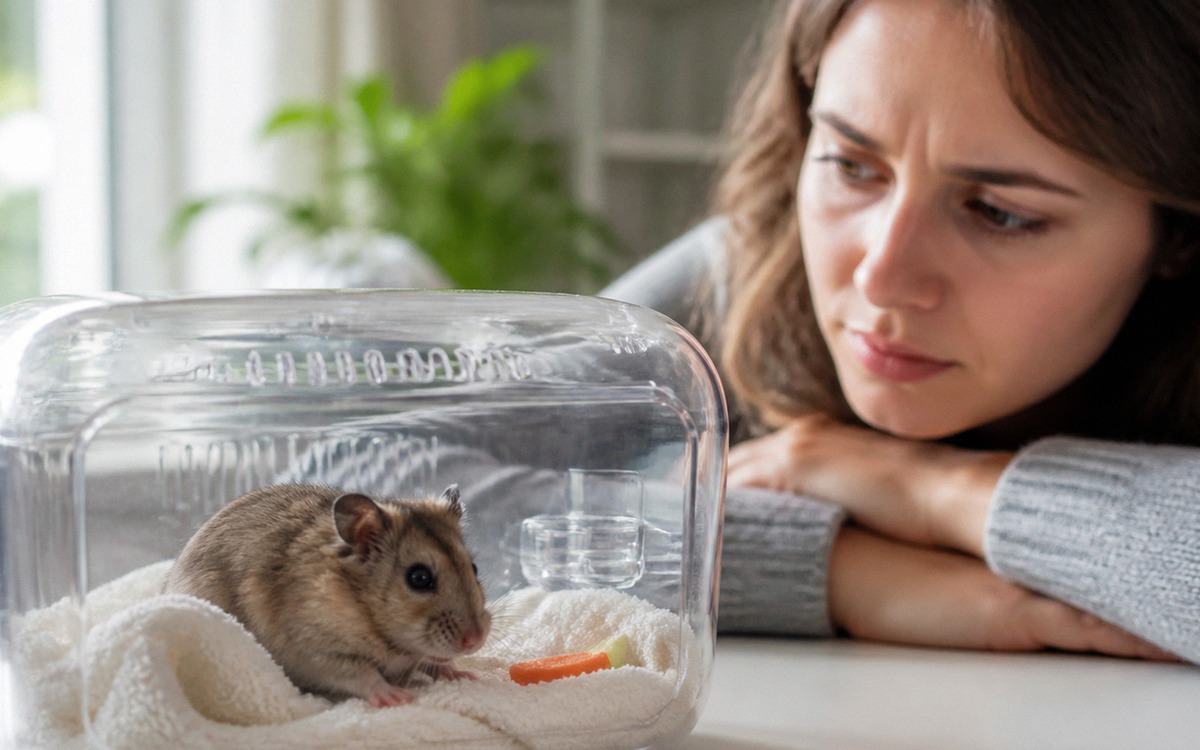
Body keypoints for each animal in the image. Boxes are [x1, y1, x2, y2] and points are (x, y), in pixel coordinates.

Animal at [163, 483, 492, 707]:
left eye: (474, 568)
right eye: (419, 578)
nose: (475, 640)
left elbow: (436, 661)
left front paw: (463, 675)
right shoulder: (314, 651)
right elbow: (360, 673)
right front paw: (397, 697)